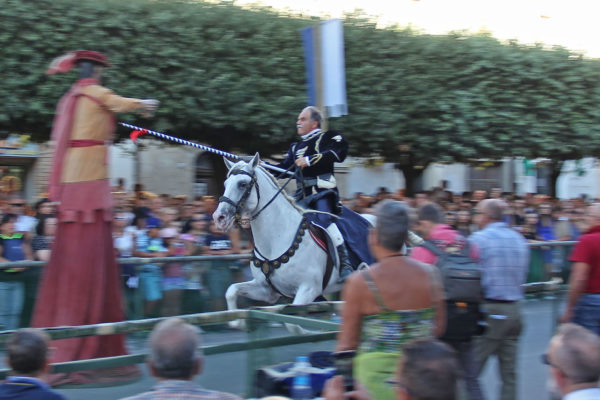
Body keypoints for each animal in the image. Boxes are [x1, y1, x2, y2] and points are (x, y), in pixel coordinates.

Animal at [214, 152, 346, 324]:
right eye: (225, 183)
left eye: (242, 184)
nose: (219, 217)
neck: (275, 241)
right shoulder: (266, 291)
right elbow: (231, 290)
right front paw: (236, 320)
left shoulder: (308, 289)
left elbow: (293, 322)